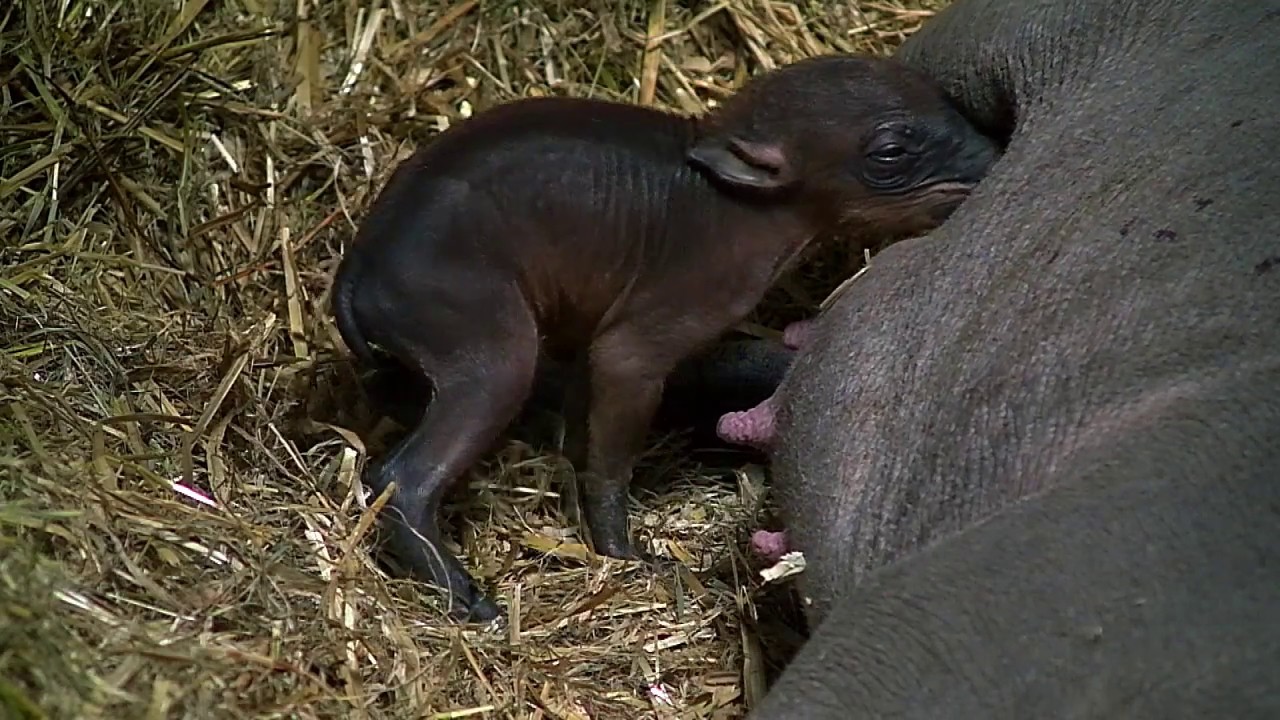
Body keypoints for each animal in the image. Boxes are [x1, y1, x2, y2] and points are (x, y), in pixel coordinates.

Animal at [330, 53, 999, 622]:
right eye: (890, 153)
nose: (996, 155)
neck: (733, 199)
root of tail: (358, 267)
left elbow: (582, 428)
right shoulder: (649, 333)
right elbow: (612, 444)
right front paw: (623, 554)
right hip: (483, 347)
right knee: (404, 475)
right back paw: (464, 594)